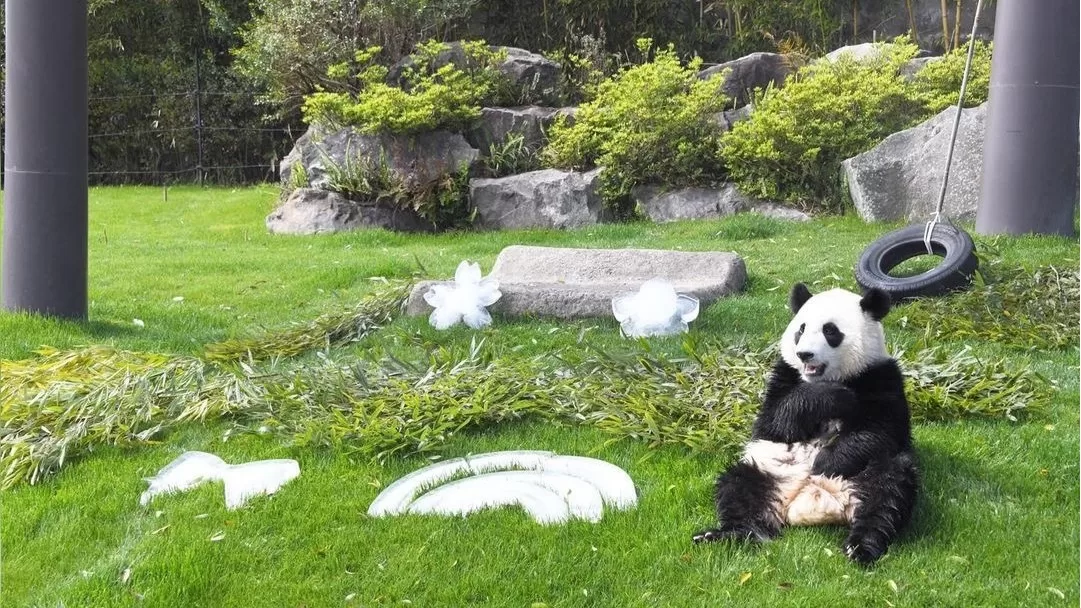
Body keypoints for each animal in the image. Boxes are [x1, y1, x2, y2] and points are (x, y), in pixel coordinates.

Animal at [692, 283, 919, 565]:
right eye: (800, 329)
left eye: (830, 330)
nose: (804, 354)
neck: (831, 377)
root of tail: (813, 500)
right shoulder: (784, 375)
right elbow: (776, 420)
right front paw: (836, 396)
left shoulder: (882, 376)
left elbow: (881, 430)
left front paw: (826, 461)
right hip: (768, 469)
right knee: (739, 487)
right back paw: (727, 533)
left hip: (864, 472)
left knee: (888, 490)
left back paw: (861, 546)